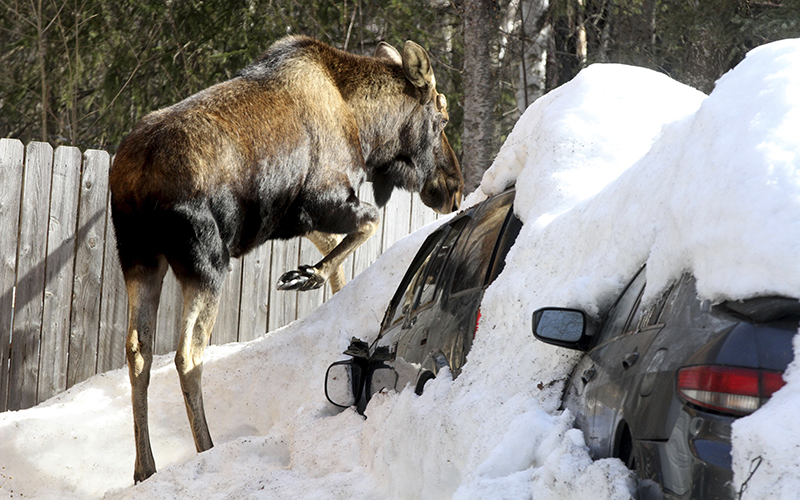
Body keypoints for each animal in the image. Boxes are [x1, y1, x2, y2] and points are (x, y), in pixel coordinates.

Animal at [109, 34, 466, 480]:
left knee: (137, 350)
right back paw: (206, 449)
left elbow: (338, 250)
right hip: (206, 261)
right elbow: (370, 222)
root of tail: (136, 180)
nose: (454, 187)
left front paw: (315, 279)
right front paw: (308, 276)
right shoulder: (323, 198)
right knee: (187, 352)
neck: (367, 130)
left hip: (139, 258)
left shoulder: (296, 217)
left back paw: (145, 467)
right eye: (442, 116)